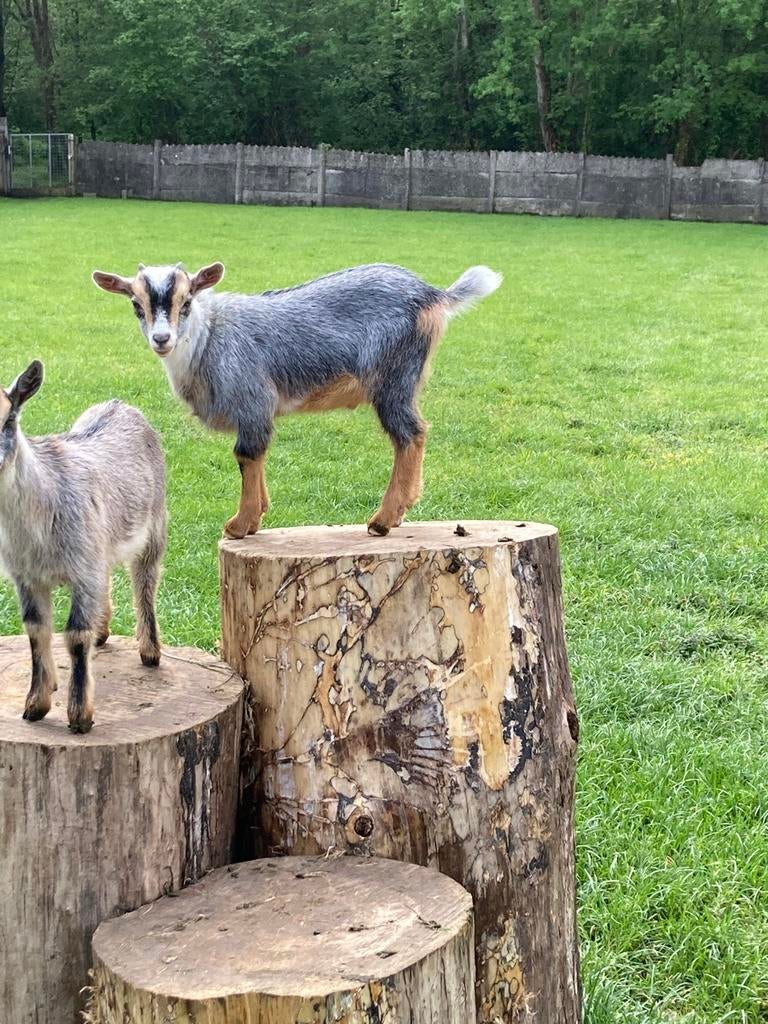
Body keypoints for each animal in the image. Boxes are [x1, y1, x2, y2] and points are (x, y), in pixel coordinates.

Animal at [0, 361, 166, 733]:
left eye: (9, 419)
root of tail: (119, 404)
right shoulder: (26, 576)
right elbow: (36, 630)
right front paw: (37, 703)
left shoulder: (82, 570)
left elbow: (75, 635)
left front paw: (79, 717)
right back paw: (103, 633)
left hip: (155, 523)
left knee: (144, 580)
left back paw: (150, 652)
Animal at [92, 261, 502, 538]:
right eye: (136, 304)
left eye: (187, 300)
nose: (161, 339)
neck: (209, 338)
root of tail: (435, 294)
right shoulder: (257, 413)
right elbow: (255, 457)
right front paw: (258, 516)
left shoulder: (252, 400)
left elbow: (246, 455)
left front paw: (239, 524)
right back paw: (399, 512)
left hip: (394, 377)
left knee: (410, 433)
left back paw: (383, 520)